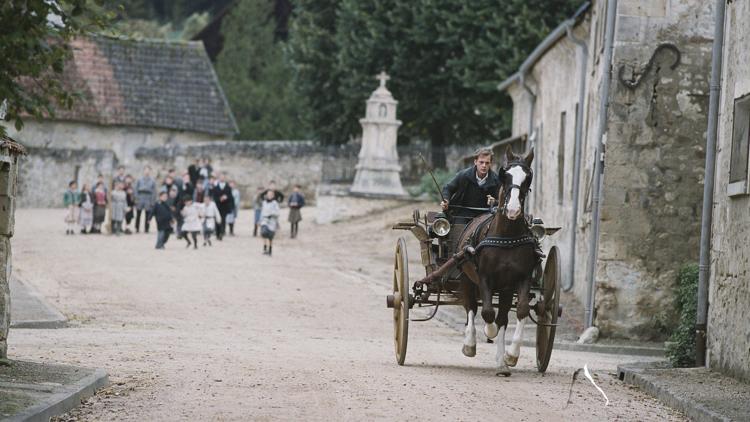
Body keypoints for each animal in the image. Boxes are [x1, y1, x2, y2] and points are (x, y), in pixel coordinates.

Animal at [456, 146, 536, 376]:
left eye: (528, 177)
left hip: (506, 289)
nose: (513, 210)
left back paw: (501, 363)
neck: (506, 236)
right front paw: (487, 331)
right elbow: (487, 312)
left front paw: (511, 356)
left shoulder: (521, 279)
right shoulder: (484, 278)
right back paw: (470, 344)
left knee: (502, 318)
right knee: (471, 307)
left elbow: (520, 311)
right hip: (467, 278)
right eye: (505, 175)